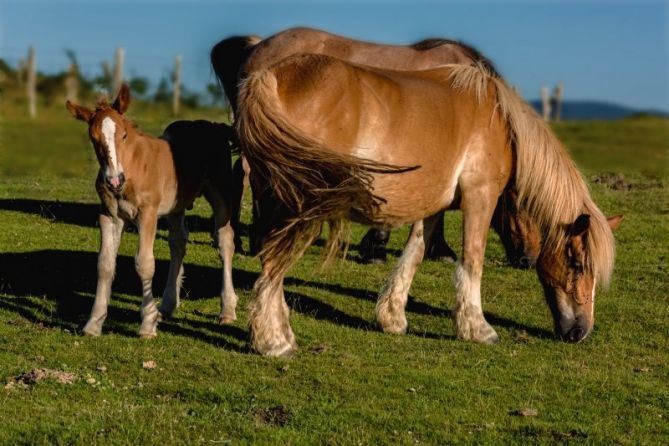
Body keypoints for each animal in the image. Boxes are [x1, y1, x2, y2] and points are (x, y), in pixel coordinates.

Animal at [65, 83, 241, 336]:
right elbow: (105, 264)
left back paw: (227, 310)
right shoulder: (109, 216)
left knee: (225, 240)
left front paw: (147, 325)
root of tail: (213, 126)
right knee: (178, 242)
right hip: (176, 205)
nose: (114, 180)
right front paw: (93, 323)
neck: (132, 167)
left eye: (123, 135)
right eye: (93, 138)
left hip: (220, 192)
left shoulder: (147, 213)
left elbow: (145, 263)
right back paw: (167, 305)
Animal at [211, 27, 540, 268]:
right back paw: (254, 240)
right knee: (250, 176)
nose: (529, 259)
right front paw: (382, 248)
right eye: (523, 202)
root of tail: (256, 48)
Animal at [235, 54, 620, 358]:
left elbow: (415, 253)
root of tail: (272, 76)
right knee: (273, 266)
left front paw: (392, 318)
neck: (499, 120)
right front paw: (477, 329)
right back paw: (274, 343)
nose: (580, 332)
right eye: (577, 264)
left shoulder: (434, 205)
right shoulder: (480, 197)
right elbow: (472, 259)